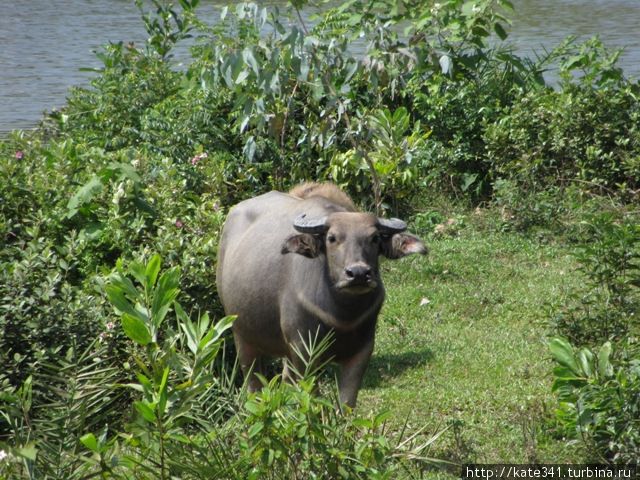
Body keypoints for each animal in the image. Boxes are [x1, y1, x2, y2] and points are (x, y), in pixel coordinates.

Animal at [216, 182, 424, 406]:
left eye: (374, 238)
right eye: (332, 238)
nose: (358, 273)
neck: (342, 314)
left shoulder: (363, 350)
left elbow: (346, 403)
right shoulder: (303, 350)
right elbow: (312, 397)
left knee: (286, 378)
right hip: (241, 334)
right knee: (253, 382)